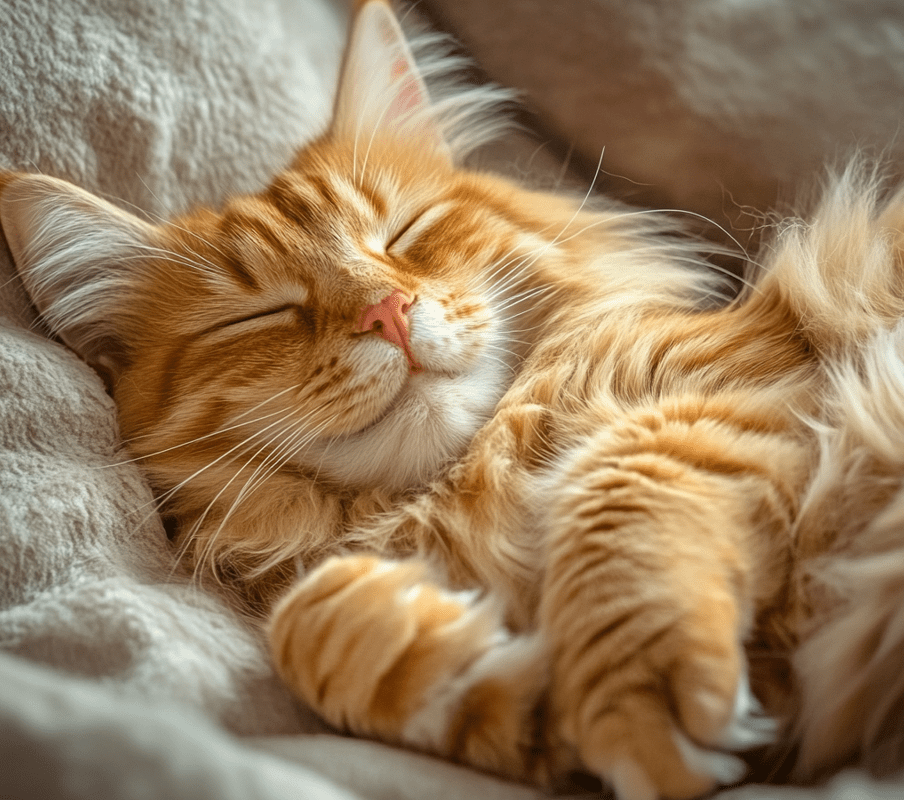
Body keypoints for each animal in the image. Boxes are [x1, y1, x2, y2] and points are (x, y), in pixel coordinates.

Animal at [1, 0, 904, 796]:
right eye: (260, 315)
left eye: (404, 235)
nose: (386, 311)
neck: (469, 486)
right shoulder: (774, 715)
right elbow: (310, 627)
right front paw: (438, 631)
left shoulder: (733, 390)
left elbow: (621, 518)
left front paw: (642, 695)